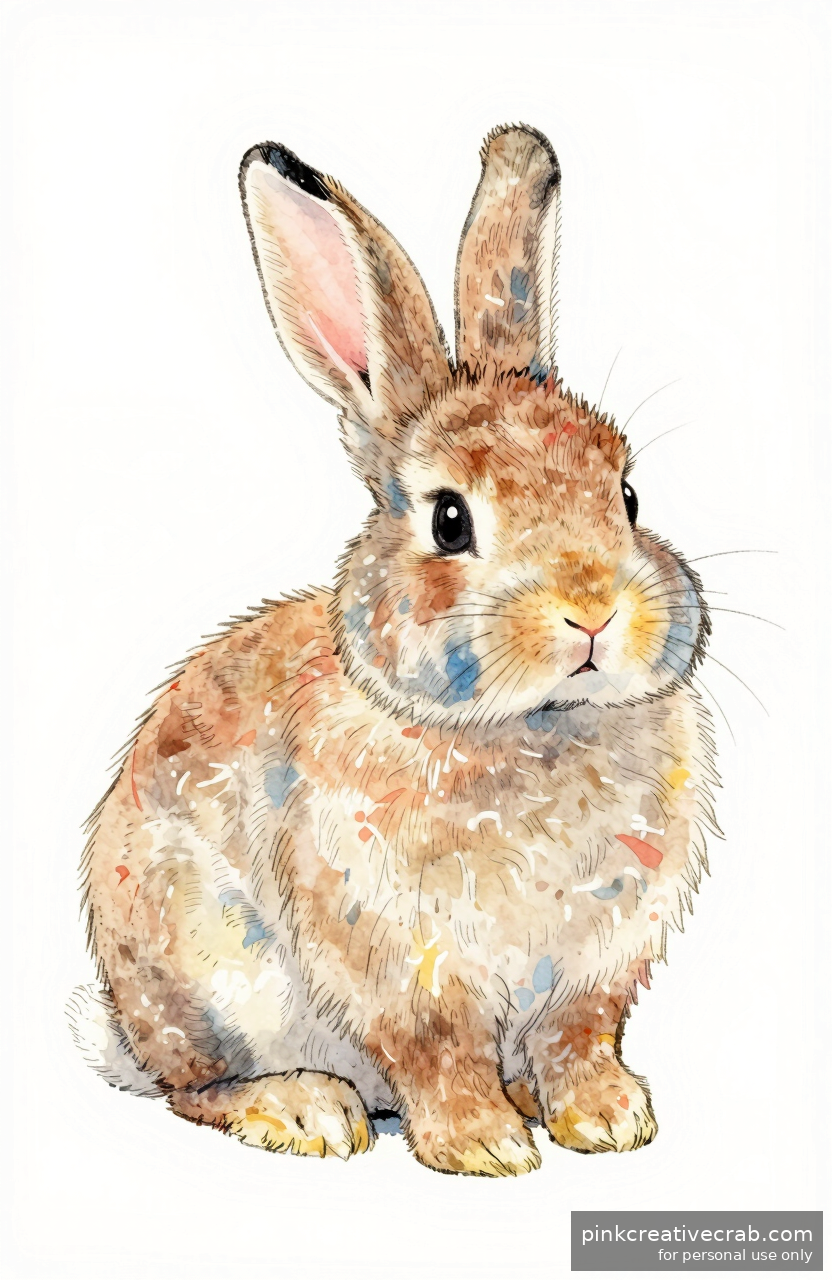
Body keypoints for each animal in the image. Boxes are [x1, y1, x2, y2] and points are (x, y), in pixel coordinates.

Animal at [77, 123, 718, 1176]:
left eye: (626, 496)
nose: (592, 610)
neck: (532, 726)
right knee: (194, 1091)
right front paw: (484, 1148)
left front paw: (609, 1121)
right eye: (450, 520)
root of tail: (120, 1027)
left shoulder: (598, 964)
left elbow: (577, 1037)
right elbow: (436, 1051)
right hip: (208, 981)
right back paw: (304, 1110)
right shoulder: (396, 959)